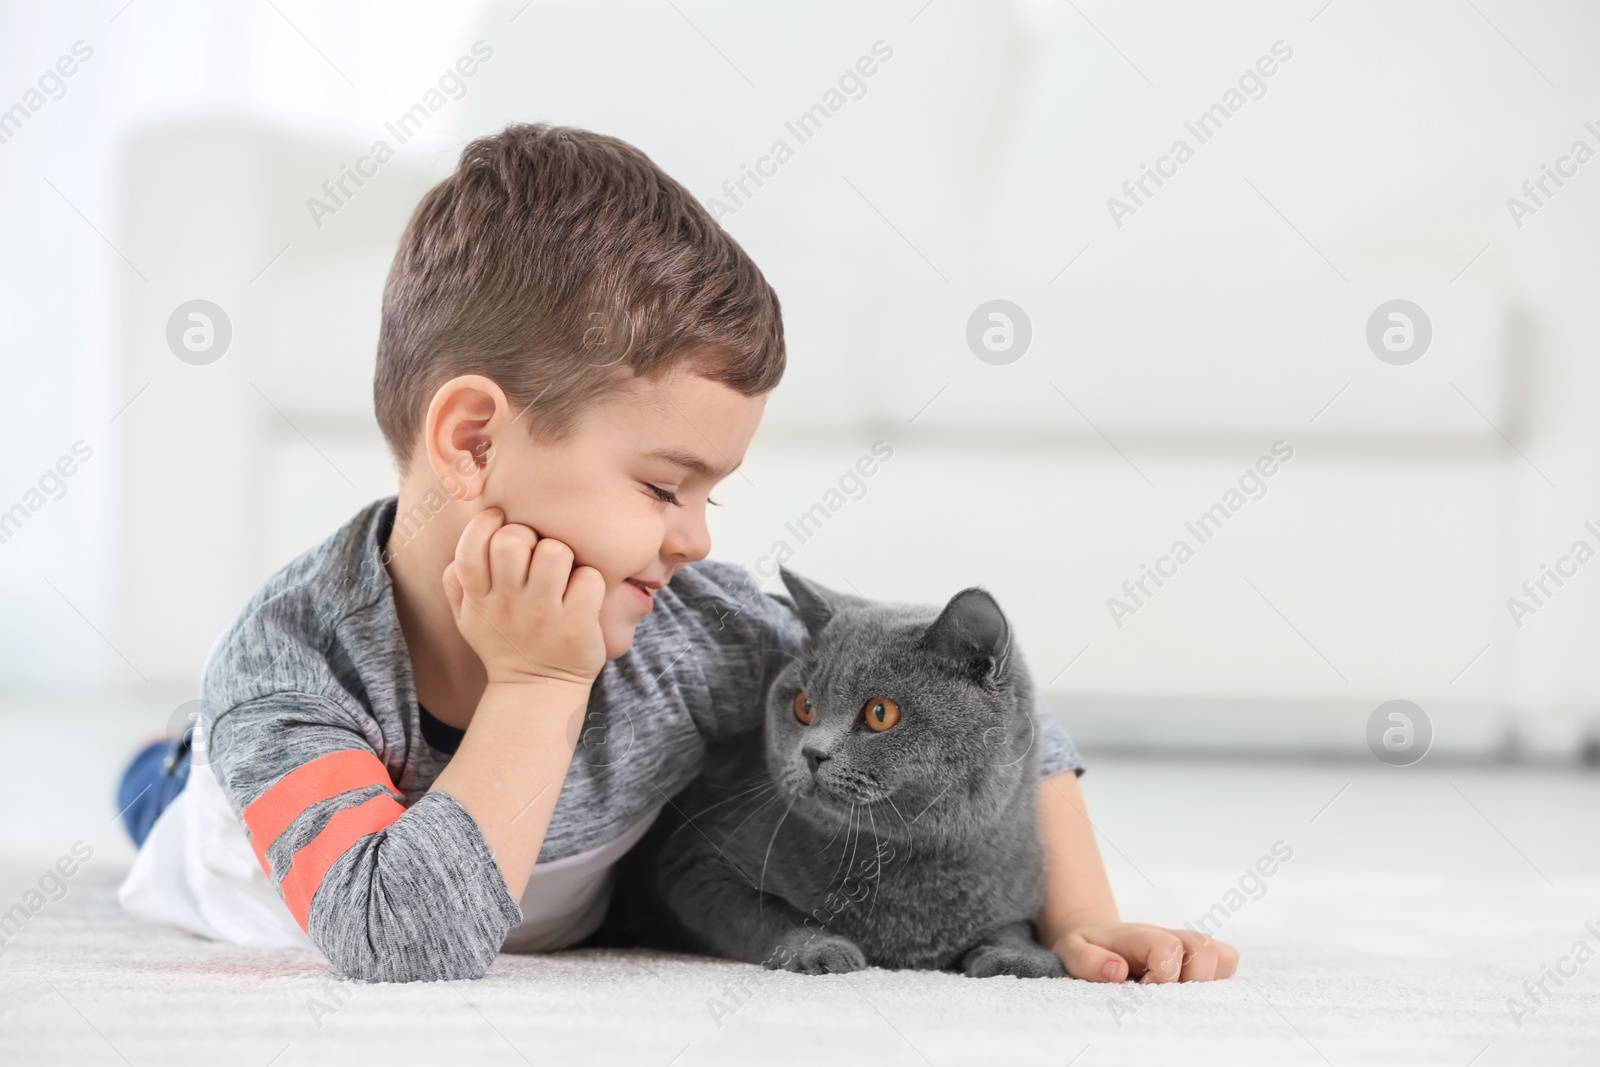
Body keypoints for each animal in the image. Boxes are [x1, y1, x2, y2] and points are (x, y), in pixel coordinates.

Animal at [604, 572, 1068, 979]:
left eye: (880, 713)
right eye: (804, 706)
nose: (812, 753)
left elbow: (1015, 927)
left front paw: (1022, 959)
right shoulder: (694, 865)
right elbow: (764, 911)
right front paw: (818, 948)